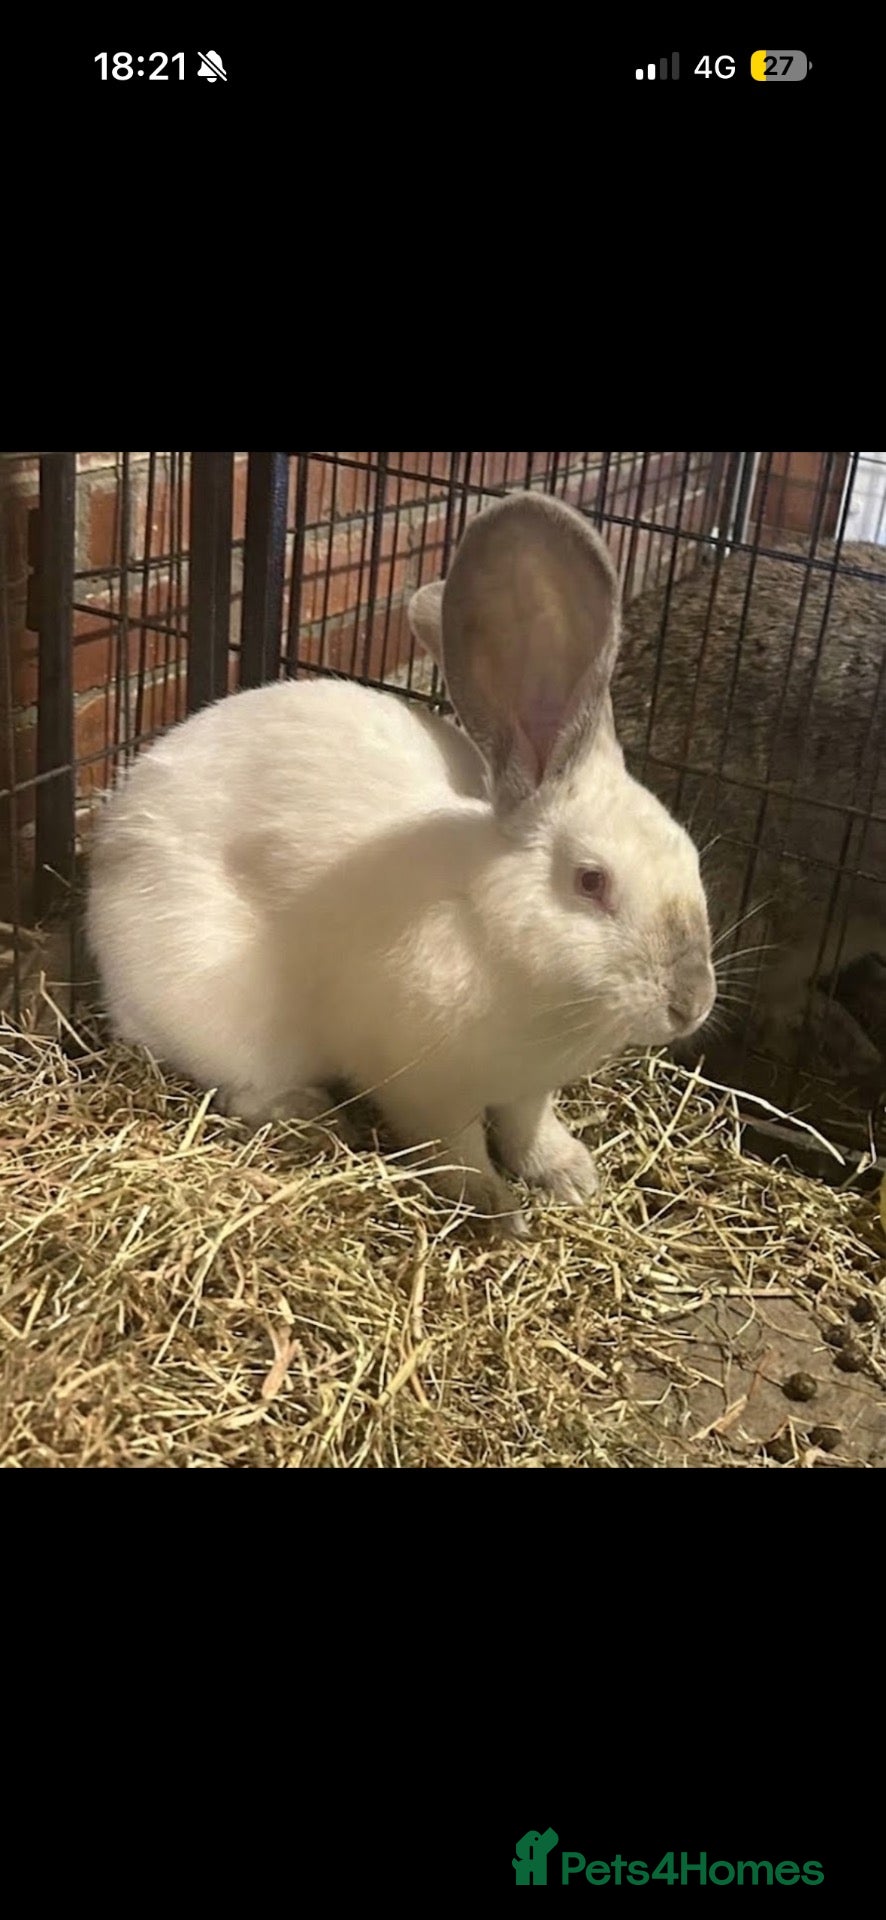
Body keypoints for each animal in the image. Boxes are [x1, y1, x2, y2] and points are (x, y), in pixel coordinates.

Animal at [86, 491, 717, 1233]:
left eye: (691, 857)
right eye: (591, 882)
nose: (693, 1003)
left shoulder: (528, 1089)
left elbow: (528, 1129)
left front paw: (569, 1175)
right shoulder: (425, 1089)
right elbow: (457, 1151)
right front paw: (497, 1211)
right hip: (210, 1008)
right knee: (242, 1087)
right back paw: (313, 1119)